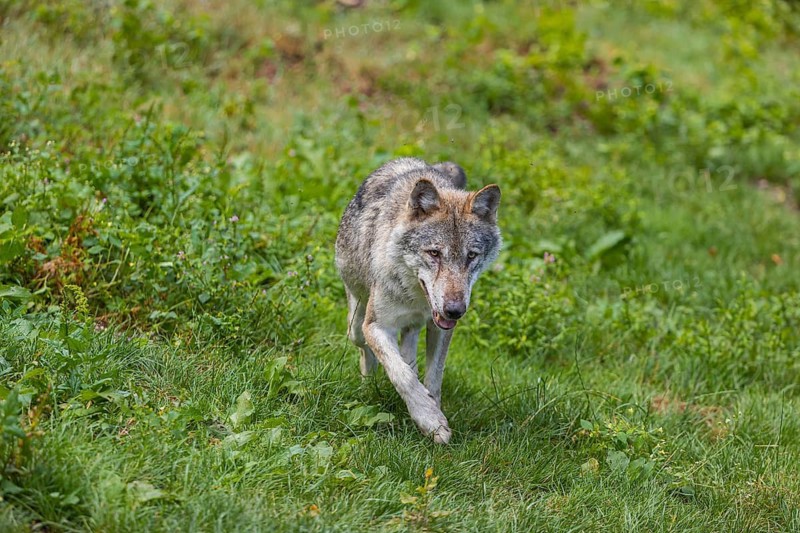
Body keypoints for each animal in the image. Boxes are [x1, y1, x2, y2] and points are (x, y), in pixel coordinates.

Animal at [335, 157, 501, 443]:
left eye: (471, 255)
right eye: (434, 253)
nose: (455, 310)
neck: (416, 298)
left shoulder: (441, 328)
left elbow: (433, 375)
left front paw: (434, 413)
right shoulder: (376, 326)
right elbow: (402, 375)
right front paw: (430, 420)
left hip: (412, 327)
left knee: (408, 351)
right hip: (356, 324)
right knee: (366, 349)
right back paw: (368, 381)